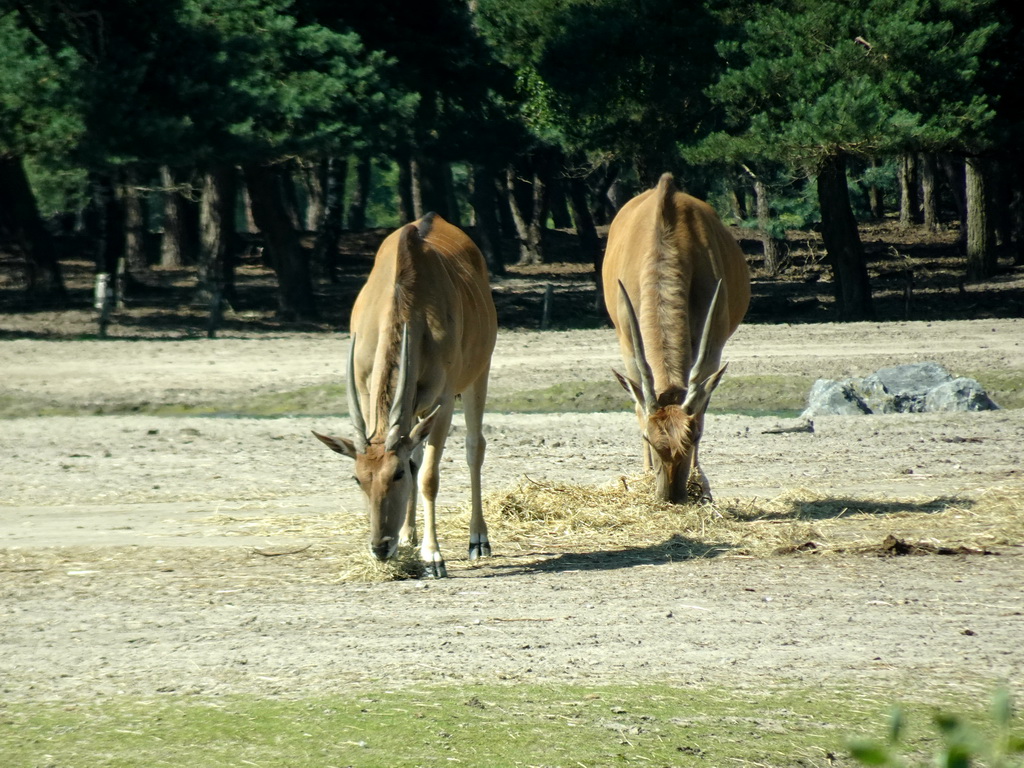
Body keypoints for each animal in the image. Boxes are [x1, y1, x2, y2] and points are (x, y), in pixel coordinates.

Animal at [315, 211, 499, 577]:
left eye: (395, 474)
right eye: (358, 479)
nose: (380, 547)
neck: (407, 298)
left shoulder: (442, 401)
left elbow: (427, 476)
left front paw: (433, 556)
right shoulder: (370, 394)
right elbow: (414, 459)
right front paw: (407, 540)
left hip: (478, 374)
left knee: (474, 447)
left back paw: (477, 540)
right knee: (417, 451)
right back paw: (408, 534)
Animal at [598, 174, 753, 505]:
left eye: (694, 436)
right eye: (648, 437)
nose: (671, 496)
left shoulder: (713, 345)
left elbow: (703, 405)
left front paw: (702, 484)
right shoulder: (628, 342)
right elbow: (639, 404)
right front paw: (644, 476)